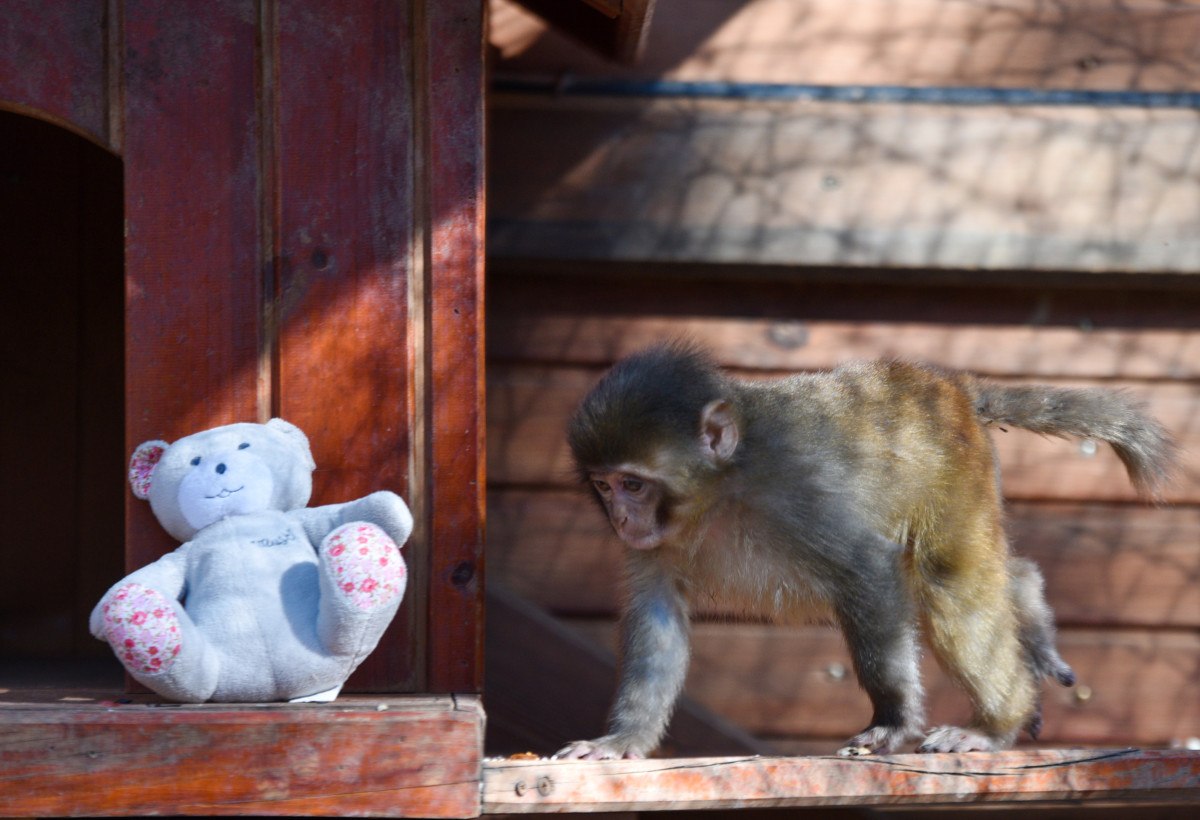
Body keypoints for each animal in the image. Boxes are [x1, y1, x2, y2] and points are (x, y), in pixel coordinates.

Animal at [556, 340, 1176, 758]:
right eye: (604, 485)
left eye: (634, 485)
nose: (622, 517)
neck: (719, 491)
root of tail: (952, 387)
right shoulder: (657, 545)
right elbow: (658, 617)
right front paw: (624, 739)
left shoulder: (794, 490)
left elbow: (865, 569)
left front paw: (894, 719)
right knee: (990, 573)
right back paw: (1028, 600)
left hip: (955, 468)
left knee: (949, 579)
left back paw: (997, 724)